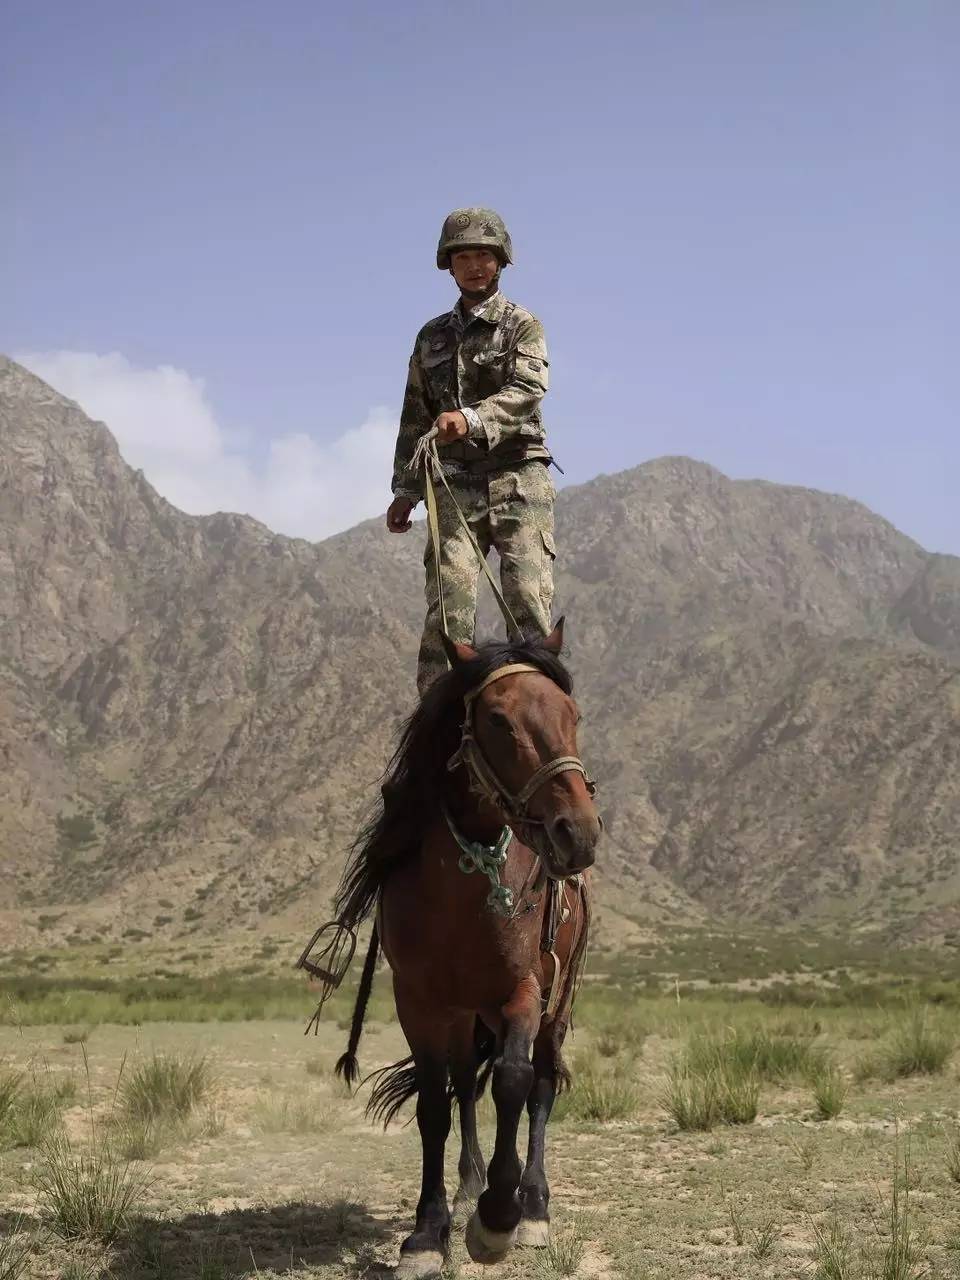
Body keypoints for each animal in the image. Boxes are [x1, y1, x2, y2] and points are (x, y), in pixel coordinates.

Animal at [313, 616, 601, 1269]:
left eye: (573, 712)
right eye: (497, 719)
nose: (578, 833)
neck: (466, 891)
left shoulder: (524, 991)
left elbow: (515, 1080)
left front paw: (497, 1219)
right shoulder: (419, 1002)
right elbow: (434, 1105)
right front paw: (428, 1231)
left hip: (558, 1000)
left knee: (540, 1083)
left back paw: (533, 1205)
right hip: (463, 1012)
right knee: (467, 1080)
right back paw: (471, 1178)